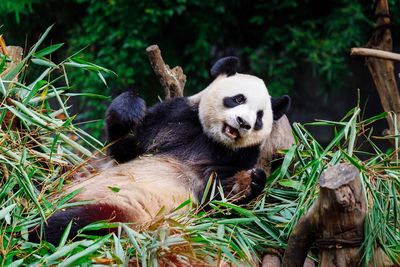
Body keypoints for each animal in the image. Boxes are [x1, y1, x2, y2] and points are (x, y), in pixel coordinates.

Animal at [33, 57, 290, 247]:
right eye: (238, 98)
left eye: (259, 117)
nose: (243, 123)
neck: (212, 139)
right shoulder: (175, 117)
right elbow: (125, 149)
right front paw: (129, 108)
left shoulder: (241, 158)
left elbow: (215, 201)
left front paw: (248, 183)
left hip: (122, 214)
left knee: (74, 224)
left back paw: (35, 228)